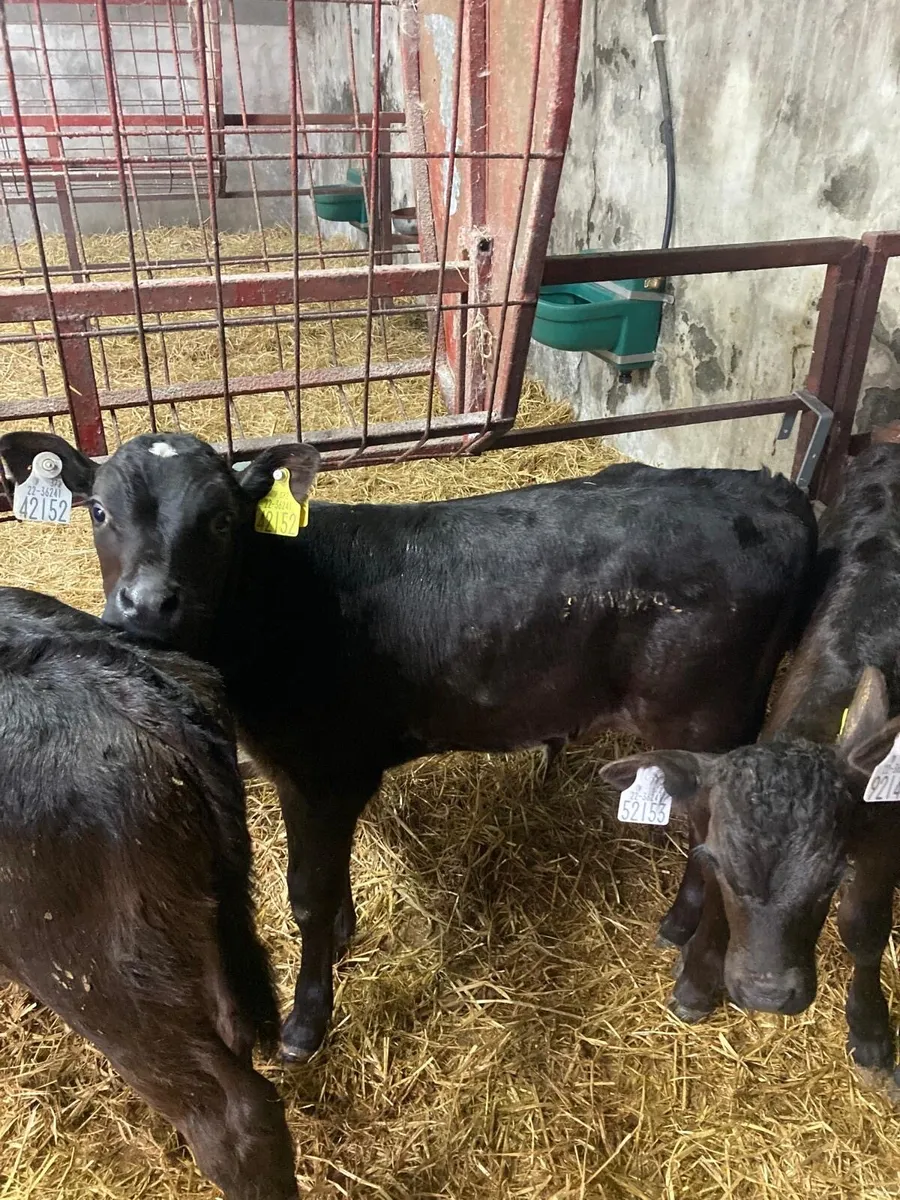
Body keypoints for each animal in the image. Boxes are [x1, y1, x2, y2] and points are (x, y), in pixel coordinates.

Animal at [0, 429, 817, 1059]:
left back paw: (697, 986)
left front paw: (306, 1020)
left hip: (708, 718)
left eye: (222, 520)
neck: (282, 604)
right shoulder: (305, 775)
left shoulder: (325, 772)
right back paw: (676, 928)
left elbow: (305, 896)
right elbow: (327, 888)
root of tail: (770, 491)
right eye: (98, 509)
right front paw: (345, 934)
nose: (146, 604)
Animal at [600, 439, 900, 1083]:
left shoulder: (884, 834)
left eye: (829, 880)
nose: (766, 995)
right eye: (720, 864)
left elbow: (864, 930)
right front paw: (697, 980)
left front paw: (870, 1031)